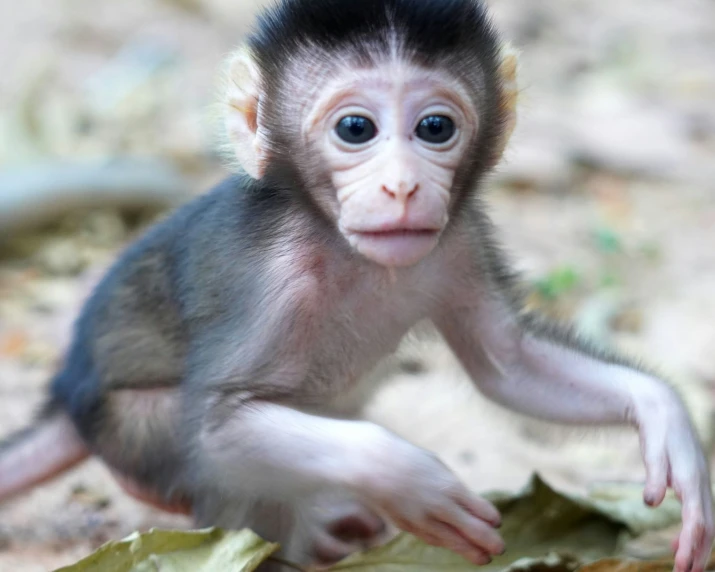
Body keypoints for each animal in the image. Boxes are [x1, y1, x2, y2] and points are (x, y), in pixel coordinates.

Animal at [0, 0, 712, 568]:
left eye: (435, 128)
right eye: (355, 129)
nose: (402, 186)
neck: (345, 249)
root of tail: (68, 395)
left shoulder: (459, 241)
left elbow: (508, 365)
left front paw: (666, 420)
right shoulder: (275, 280)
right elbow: (220, 426)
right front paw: (410, 481)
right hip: (132, 431)